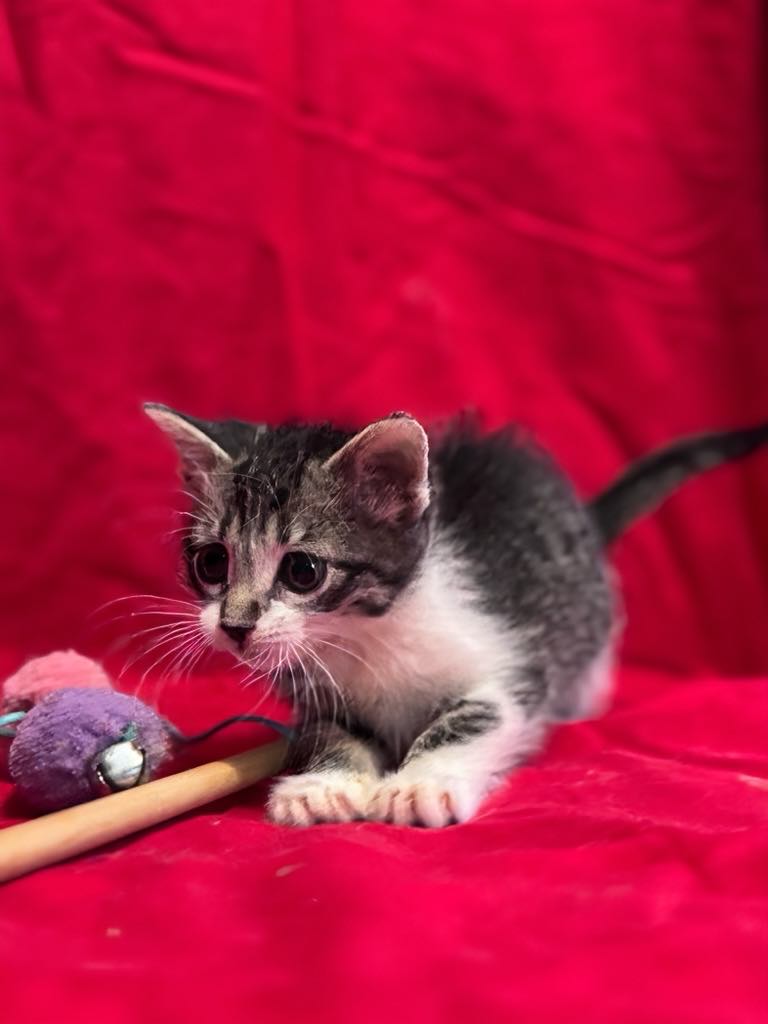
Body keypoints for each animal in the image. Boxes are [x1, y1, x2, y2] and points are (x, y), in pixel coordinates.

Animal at [144, 404, 768, 827]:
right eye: (211, 562)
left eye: (303, 570)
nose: (235, 625)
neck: (365, 634)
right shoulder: (316, 691)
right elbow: (326, 731)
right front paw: (321, 785)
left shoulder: (512, 665)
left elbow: (473, 716)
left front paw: (420, 784)